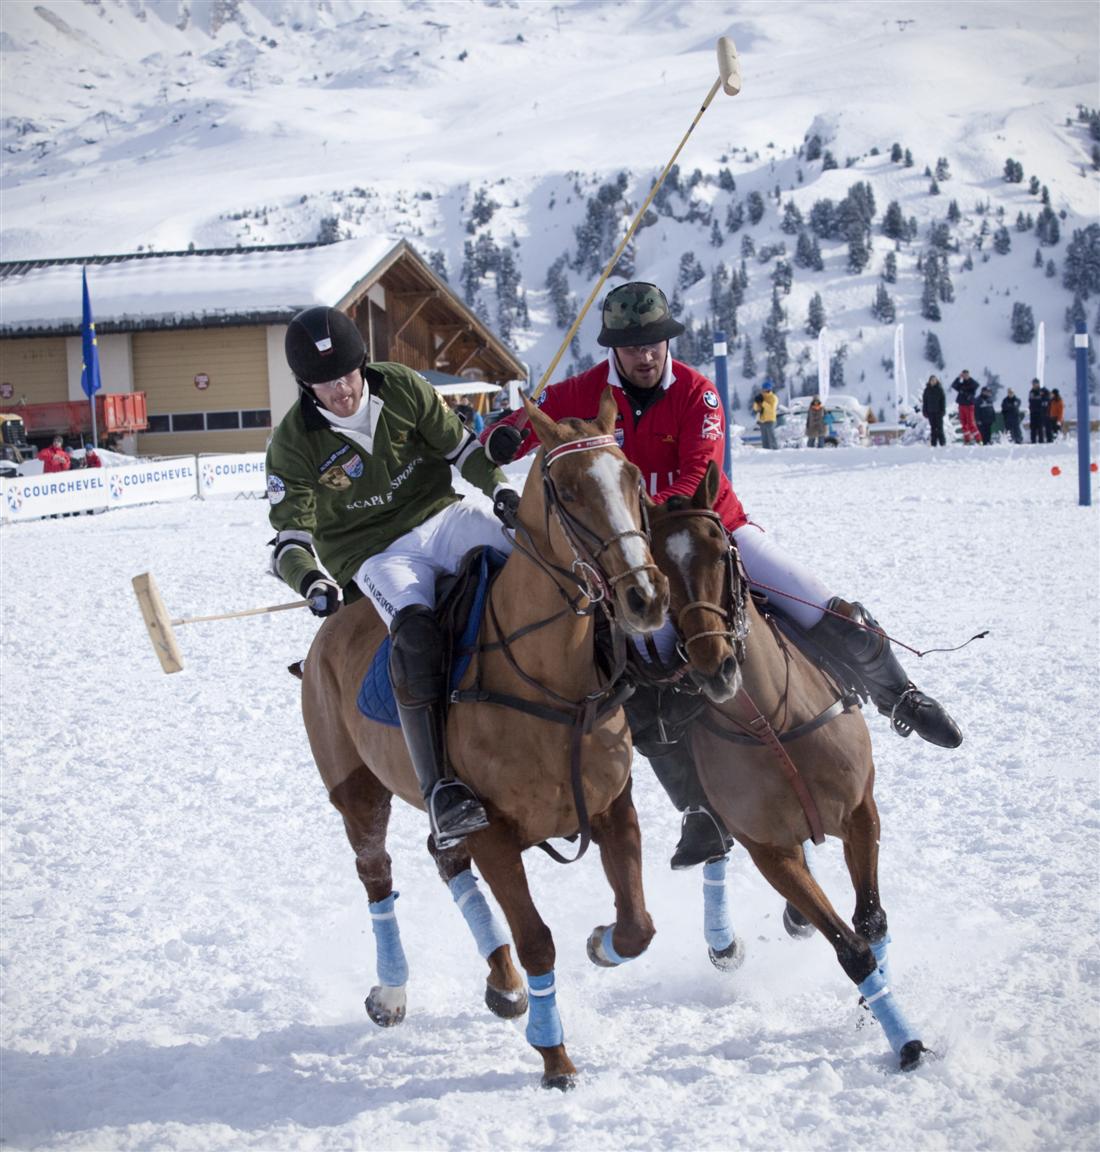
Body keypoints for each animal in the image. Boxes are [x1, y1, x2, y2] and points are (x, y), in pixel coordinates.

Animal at [299, 388, 670, 1089]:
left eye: (635, 479)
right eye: (567, 491)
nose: (644, 597)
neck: (553, 679)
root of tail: (333, 626)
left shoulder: (614, 806)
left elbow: (638, 925)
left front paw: (601, 944)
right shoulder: (495, 830)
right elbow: (538, 941)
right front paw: (555, 1058)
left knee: (444, 857)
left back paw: (504, 984)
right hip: (357, 791)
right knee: (377, 873)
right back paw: (391, 993)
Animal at [643, 459, 926, 1071]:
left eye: (720, 550)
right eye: (655, 569)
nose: (715, 666)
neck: (770, 718)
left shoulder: (860, 811)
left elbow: (871, 921)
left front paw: (881, 1011)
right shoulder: (771, 850)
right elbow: (851, 947)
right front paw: (907, 1041)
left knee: (847, 618)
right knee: (712, 844)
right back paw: (723, 936)